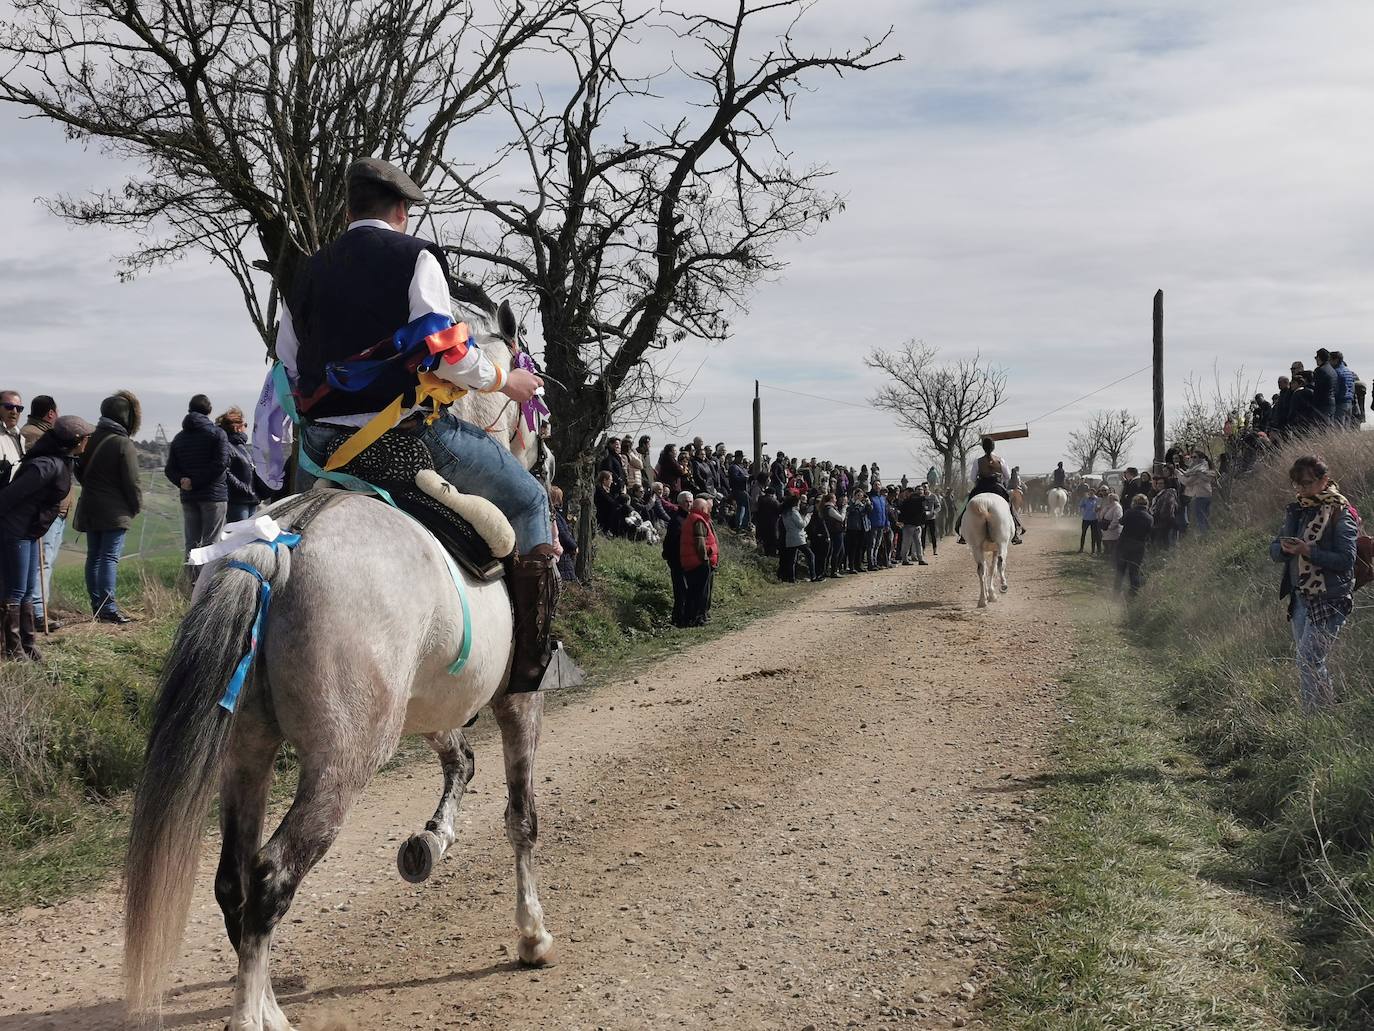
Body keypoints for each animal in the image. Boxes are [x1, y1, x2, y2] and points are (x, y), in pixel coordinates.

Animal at [126, 298, 555, 1031]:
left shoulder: (431, 704)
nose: (548, 457)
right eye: (536, 407)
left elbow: (460, 762)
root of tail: (277, 543)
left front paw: (431, 842)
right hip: (342, 761)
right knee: (270, 875)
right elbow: (520, 816)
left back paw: (266, 1004)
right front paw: (531, 934)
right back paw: (252, 1015)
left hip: (249, 751)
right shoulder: (516, 701)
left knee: (234, 880)